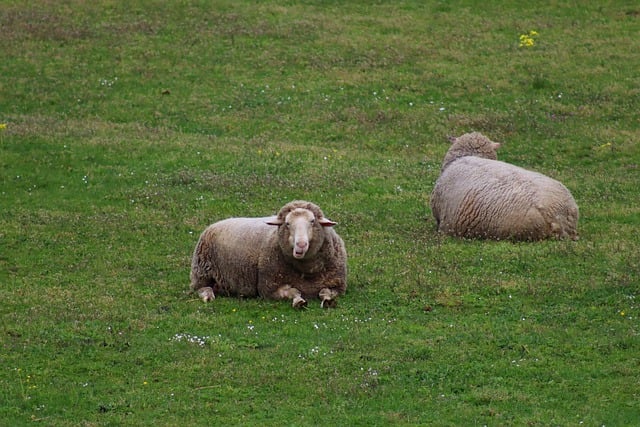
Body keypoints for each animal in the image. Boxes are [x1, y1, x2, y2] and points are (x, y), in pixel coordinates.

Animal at [190, 202, 348, 310]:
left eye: (312, 221)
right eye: (287, 223)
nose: (301, 245)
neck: (306, 273)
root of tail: (215, 224)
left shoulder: (337, 285)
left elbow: (324, 292)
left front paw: (328, 301)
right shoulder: (268, 288)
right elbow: (293, 291)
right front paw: (299, 301)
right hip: (202, 271)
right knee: (201, 288)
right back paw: (208, 296)